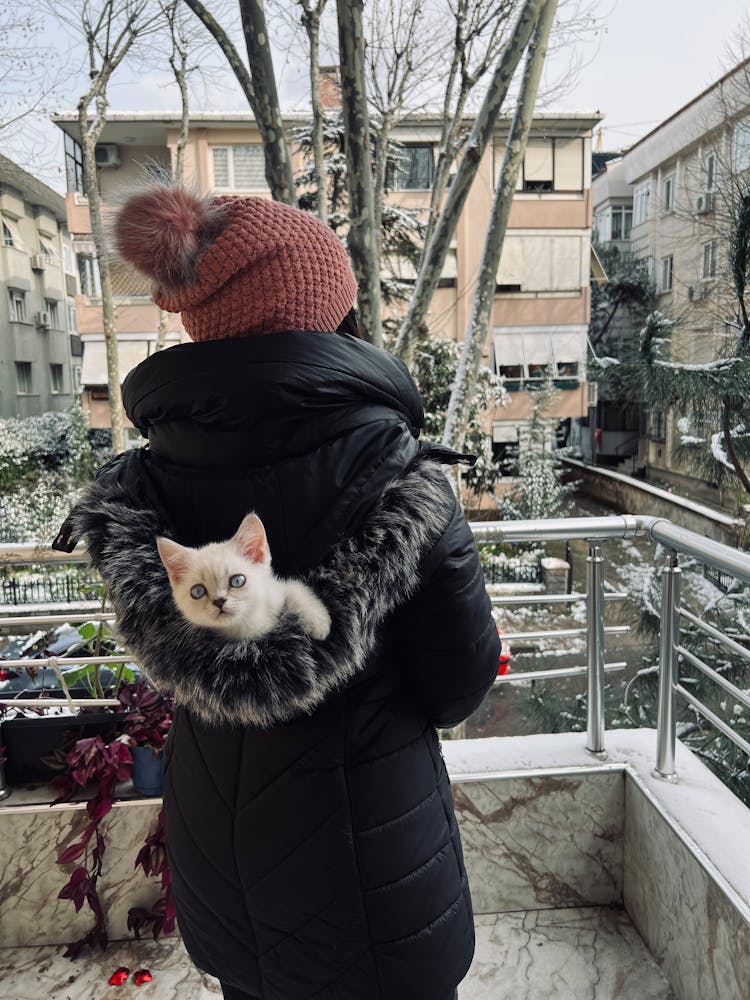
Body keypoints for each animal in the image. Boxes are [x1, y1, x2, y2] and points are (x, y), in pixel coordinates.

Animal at [159, 516, 332, 640]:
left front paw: (318, 621)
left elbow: (294, 588)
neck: (245, 627)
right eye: (198, 591)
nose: (219, 601)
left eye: (237, 581)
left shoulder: (274, 590)